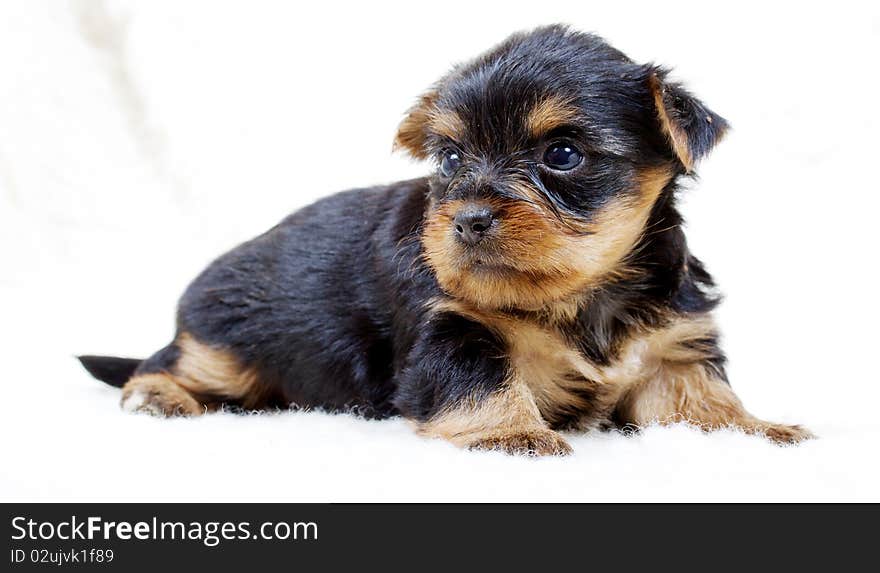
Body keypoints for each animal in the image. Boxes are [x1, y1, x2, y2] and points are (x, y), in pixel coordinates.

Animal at [81, 25, 812, 456]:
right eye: (452, 159)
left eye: (563, 155)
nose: (467, 219)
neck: (584, 292)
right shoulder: (453, 330)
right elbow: (481, 382)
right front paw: (513, 433)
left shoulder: (672, 345)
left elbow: (696, 399)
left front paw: (753, 428)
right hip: (228, 340)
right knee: (172, 360)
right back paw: (157, 395)